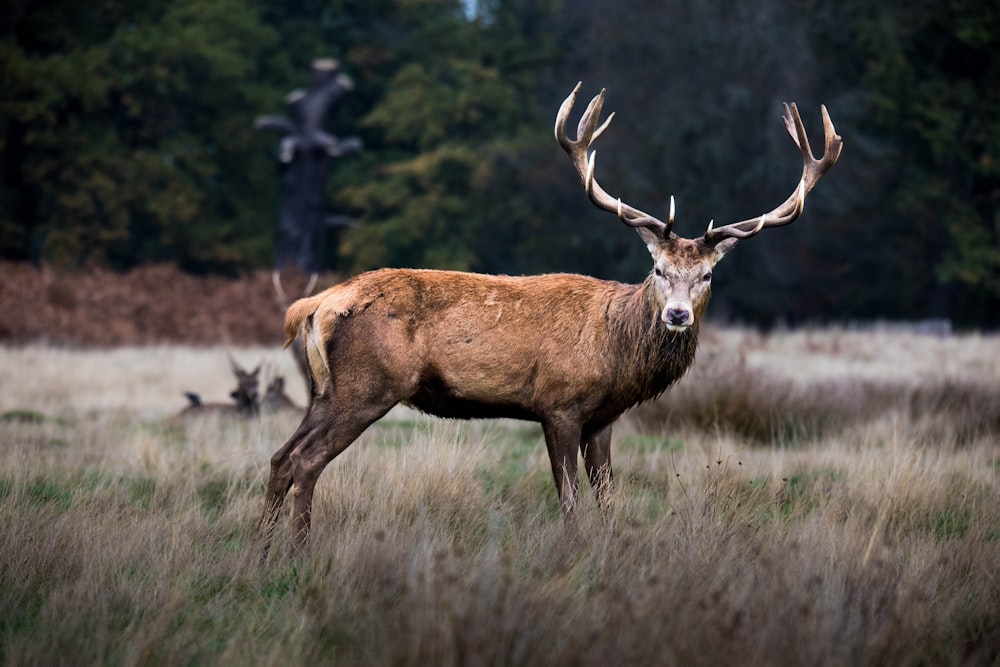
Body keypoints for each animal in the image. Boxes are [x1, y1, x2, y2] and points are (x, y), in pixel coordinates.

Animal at [256, 82, 836, 560]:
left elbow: (608, 496)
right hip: (367, 385)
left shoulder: (604, 417)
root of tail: (315, 306)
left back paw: (260, 551)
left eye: (709, 274)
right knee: (307, 461)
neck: (616, 350)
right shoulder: (558, 403)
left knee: (281, 457)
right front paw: (573, 552)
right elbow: (569, 497)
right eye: (657, 268)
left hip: (324, 390)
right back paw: (298, 554)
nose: (677, 314)